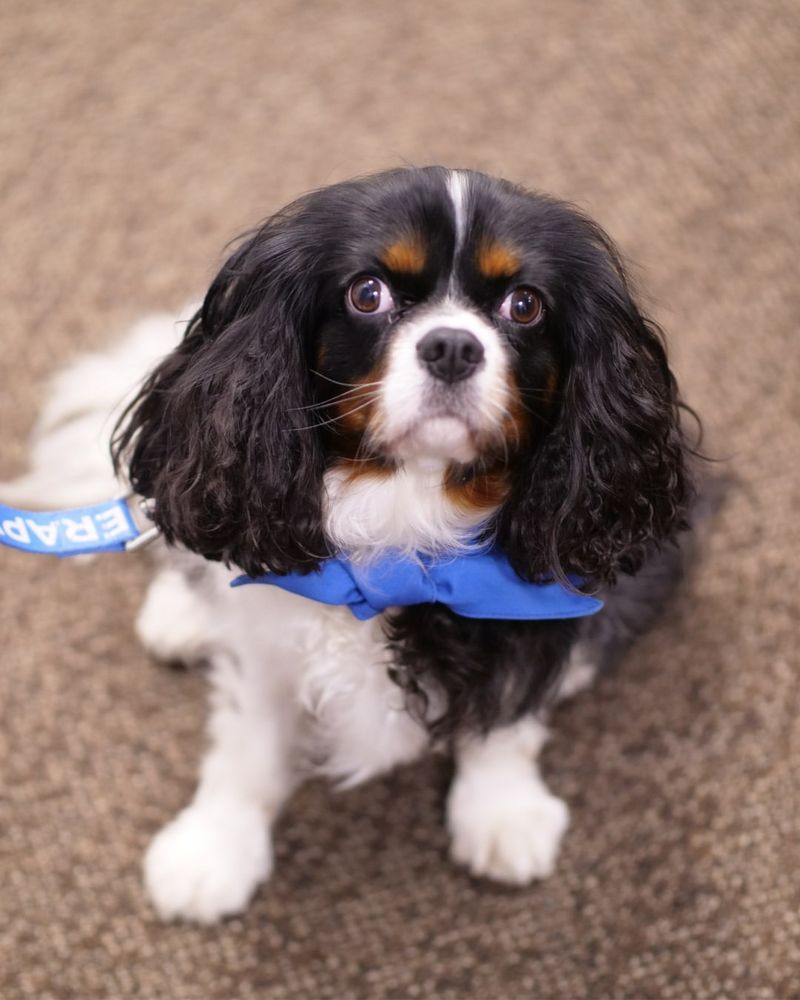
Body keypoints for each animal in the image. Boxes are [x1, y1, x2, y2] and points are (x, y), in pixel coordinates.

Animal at [3, 164, 696, 920]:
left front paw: (501, 812)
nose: (453, 346)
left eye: (524, 305)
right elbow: (248, 748)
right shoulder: (265, 643)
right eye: (368, 294)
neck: (404, 515)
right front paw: (215, 848)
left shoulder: (534, 607)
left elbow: (507, 718)